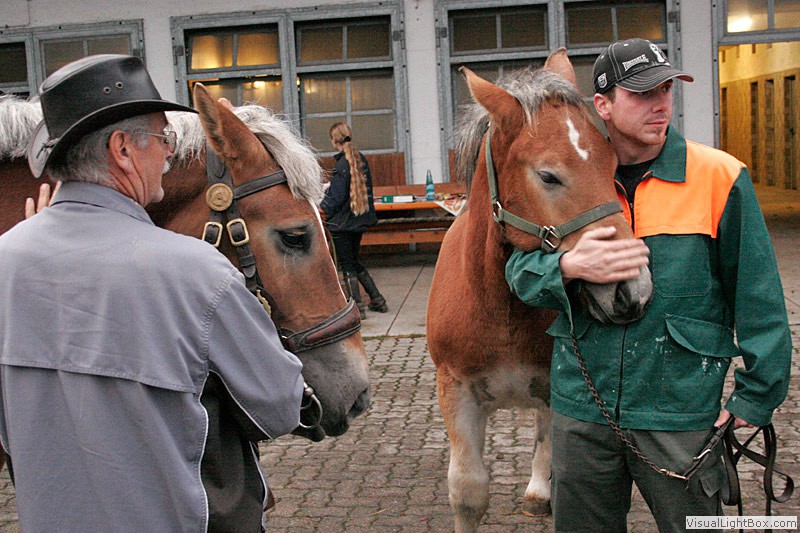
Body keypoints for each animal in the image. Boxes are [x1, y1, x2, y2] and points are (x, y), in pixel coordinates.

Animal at [426, 50, 653, 532]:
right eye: (548, 176)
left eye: (613, 167)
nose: (633, 291)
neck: (499, 305)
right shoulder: (455, 389)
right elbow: (467, 492)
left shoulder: (560, 387)